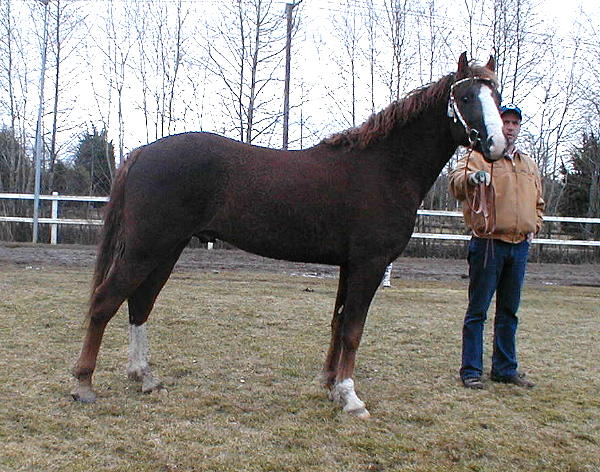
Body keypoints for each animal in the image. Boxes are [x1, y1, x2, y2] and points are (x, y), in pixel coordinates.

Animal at [71, 53, 506, 418]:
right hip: (147, 247)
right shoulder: (369, 264)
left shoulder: (349, 265)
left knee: (139, 302)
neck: (385, 167)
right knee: (105, 301)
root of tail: (141, 152)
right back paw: (83, 384)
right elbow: (353, 330)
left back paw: (145, 377)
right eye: (466, 96)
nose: (497, 145)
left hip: (167, 249)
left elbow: (338, 324)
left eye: (496, 95)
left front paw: (330, 385)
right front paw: (351, 397)